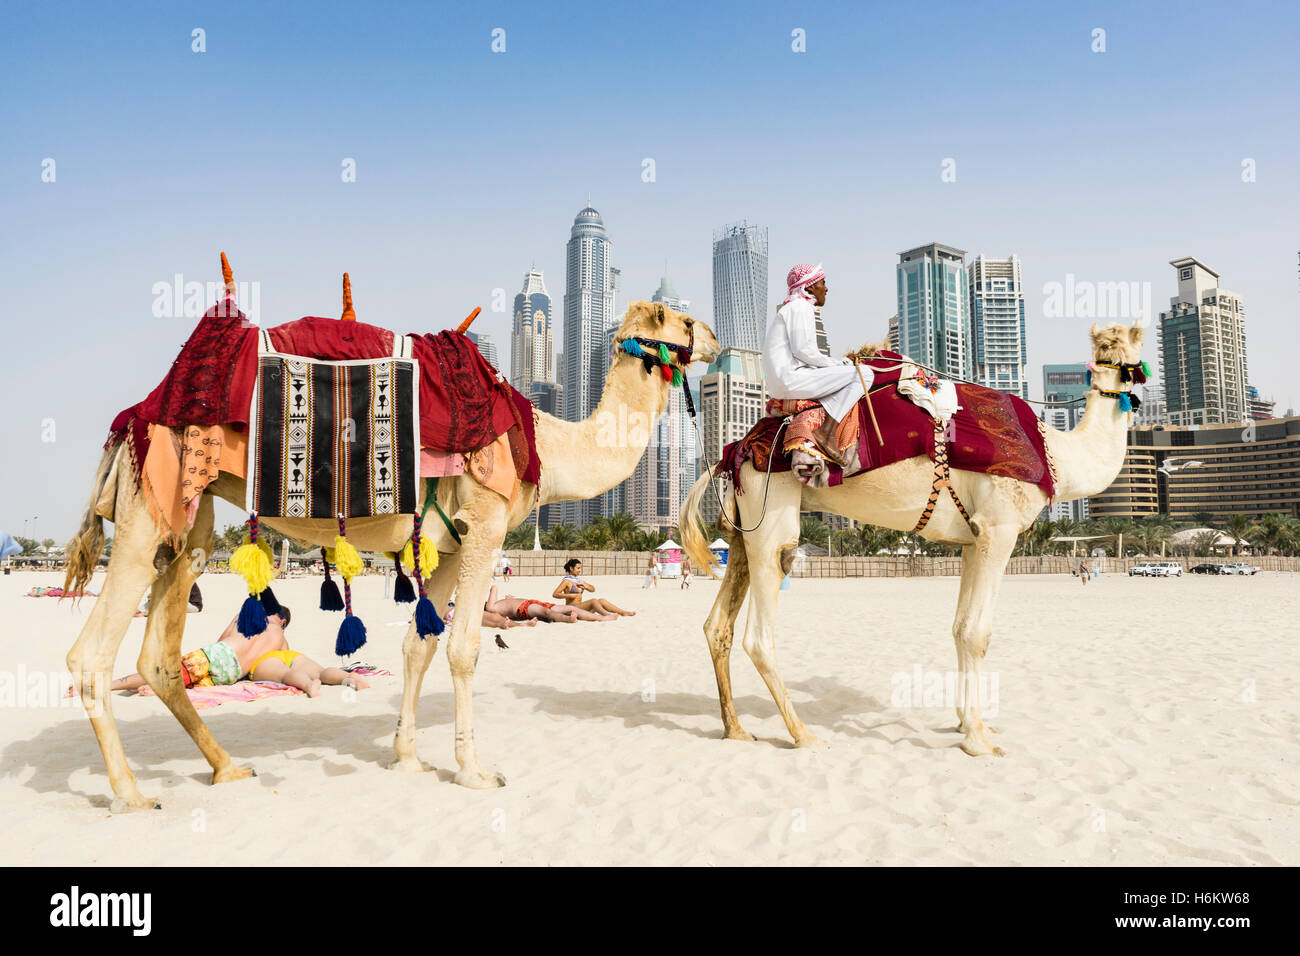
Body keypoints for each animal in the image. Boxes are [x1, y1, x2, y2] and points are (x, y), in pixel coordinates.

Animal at [63, 257, 722, 811]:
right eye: (686, 319)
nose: (718, 341)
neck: (544, 443)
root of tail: (135, 418)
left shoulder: (449, 544)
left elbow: (418, 645)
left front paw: (407, 757)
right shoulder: (484, 524)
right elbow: (463, 649)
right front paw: (475, 771)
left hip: (187, 520)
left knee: (158, 655)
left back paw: (227, 767)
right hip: (151, 501)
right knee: (89, 655)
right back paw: (130, 795)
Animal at [681, 325, 1149, 759]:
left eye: (1122, 345)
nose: (1122, 374)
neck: (1057, 457)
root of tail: (734, 450)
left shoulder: (973, 539)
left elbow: (960, 627)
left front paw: (969, 724)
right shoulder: (999, 527)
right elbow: (978, 632)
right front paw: (979, 741)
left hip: (743, 527)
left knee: (717, 624)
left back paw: (736, 729)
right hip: (772, 508)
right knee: (761, 627)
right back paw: (804, 735)